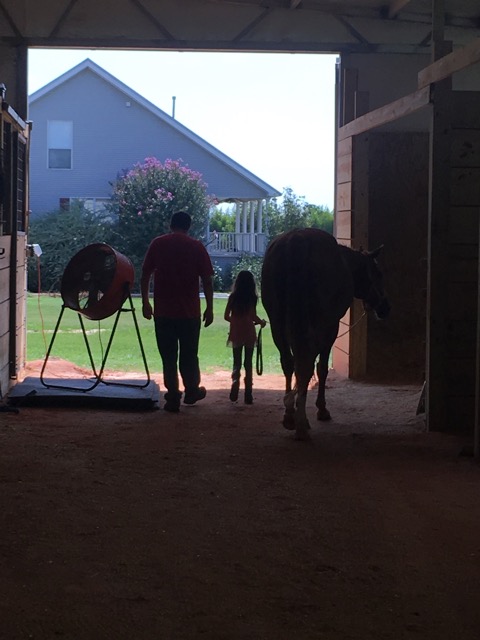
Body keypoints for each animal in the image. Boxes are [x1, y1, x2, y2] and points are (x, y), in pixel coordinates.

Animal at [262, 229, 390, 440]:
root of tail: (297, 241)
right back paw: (301, 424)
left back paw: (290, 416)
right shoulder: (330, 328)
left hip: (277, 324)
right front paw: (321, 409)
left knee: (289, 363)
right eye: (378, 273)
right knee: (305, 365)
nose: (385, 308)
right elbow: (321, 368)